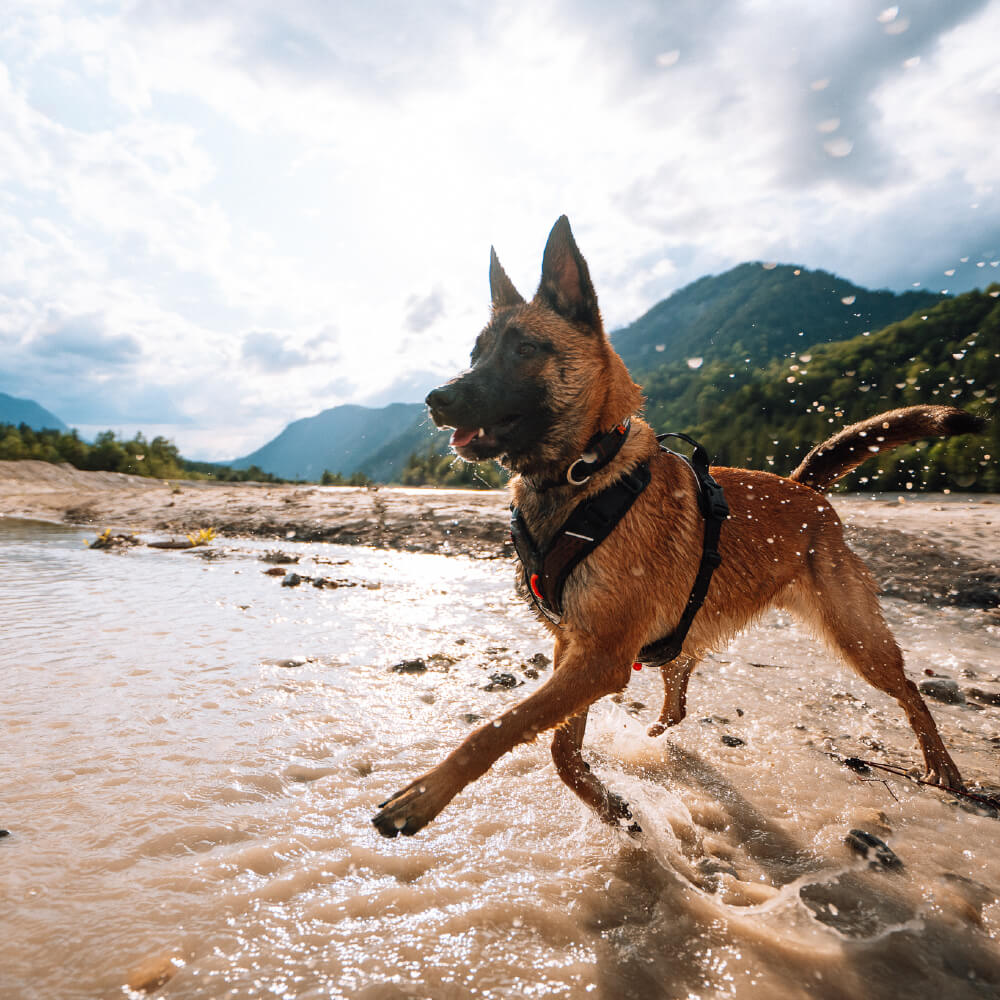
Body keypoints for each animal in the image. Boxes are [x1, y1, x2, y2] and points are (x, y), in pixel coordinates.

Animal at [372, 217, 980, 836]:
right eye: (475, 352)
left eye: (524, 349)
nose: (436, 399)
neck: (586, 470)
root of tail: (806, 489)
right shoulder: (576, 647)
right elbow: (561, 750)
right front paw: (609, 805)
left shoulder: (600, 658)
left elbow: (497, 728)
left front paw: (423, 795)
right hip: (687, 631)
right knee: (680, 690)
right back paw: (659, 733)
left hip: (857, 636)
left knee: (909, 689)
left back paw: (943, 767)